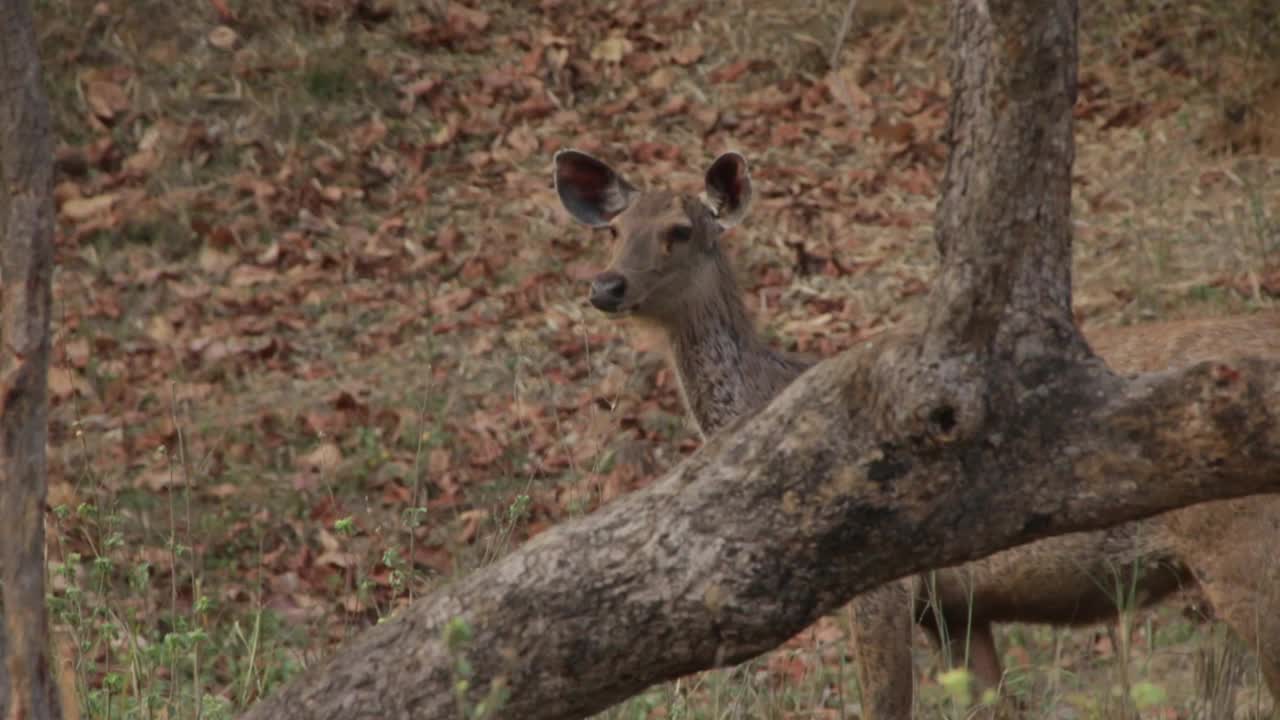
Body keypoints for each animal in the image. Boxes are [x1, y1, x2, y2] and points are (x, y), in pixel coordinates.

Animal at [555, 148, 1280, 712]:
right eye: (613, 228)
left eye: (680, 230)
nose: (605, 286)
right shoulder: (954, 610)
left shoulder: (883, 587)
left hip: (1242, 544)